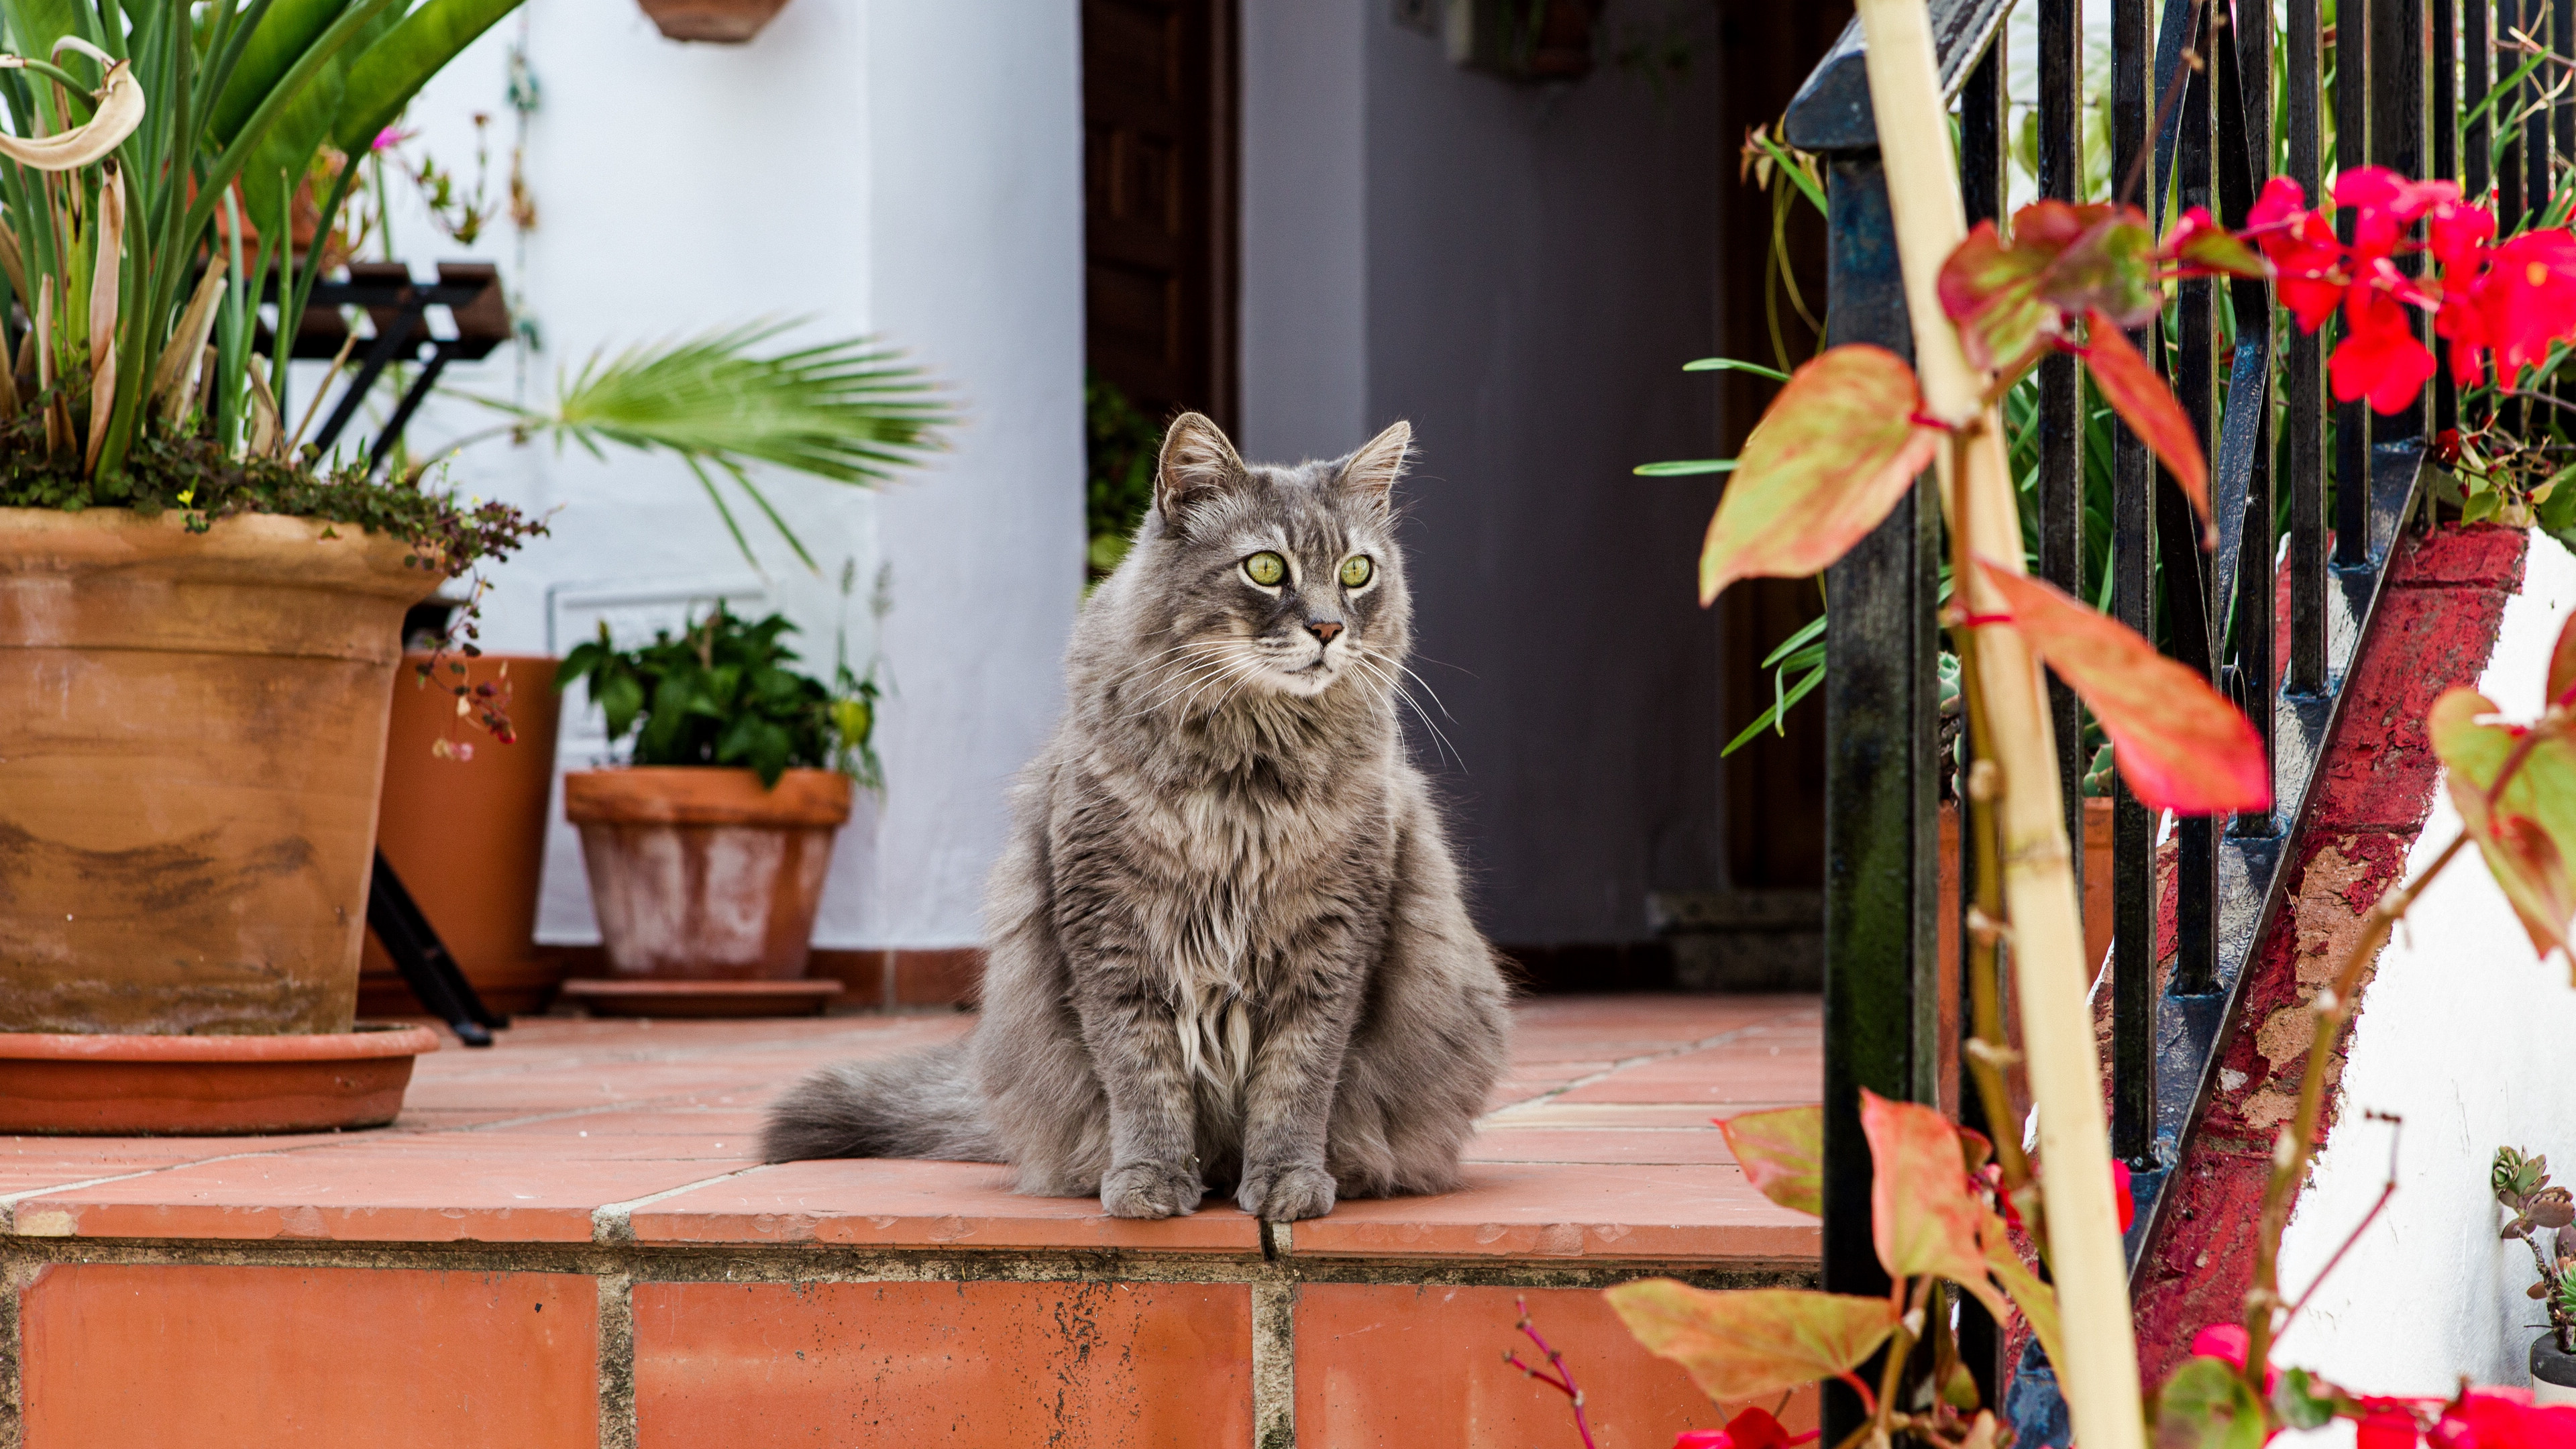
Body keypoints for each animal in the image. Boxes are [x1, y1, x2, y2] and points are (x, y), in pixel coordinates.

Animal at [752, 412, 1504, 1212]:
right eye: (1267, 569)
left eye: (1358, 572)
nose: (1330, 629)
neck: (1247, 778)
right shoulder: (1112, 931)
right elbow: (1143, 1074)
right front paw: (1150, 1179)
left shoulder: (1333, 940)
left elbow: (1296, 1081)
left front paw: (1288, 1181)